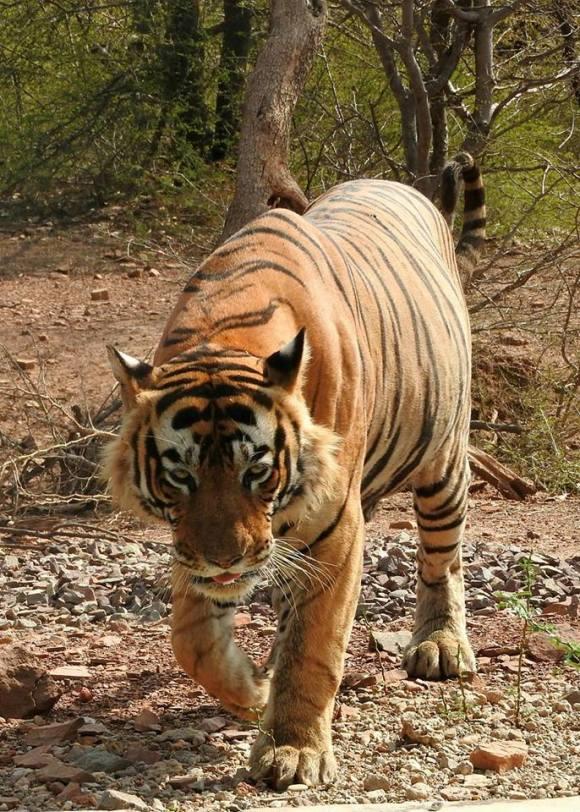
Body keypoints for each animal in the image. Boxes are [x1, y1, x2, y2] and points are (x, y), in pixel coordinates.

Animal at [103, 152, 486, 789]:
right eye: (180, 475)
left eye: (255, 471)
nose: (225, 560)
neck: (224, 329)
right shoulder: (196, 545)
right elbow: (192, 639)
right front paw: (251, 690)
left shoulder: (333, 528)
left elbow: (315, 644)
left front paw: (293, 750)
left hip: (442, 462)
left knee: (442, 559)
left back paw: (441, 645)